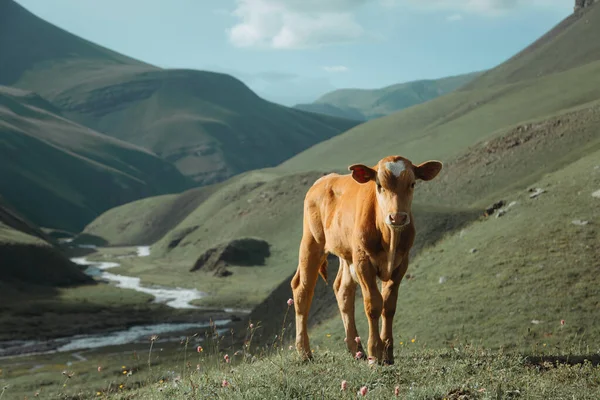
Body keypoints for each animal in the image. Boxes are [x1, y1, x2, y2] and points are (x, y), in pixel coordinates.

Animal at [288, 155, 442, 364]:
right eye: (379, 185)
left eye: (412, 184)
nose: (397, 217)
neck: (388, 238)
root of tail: (322, 181)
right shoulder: (363, 262)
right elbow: (374, 304)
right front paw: (375, 353)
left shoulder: (401, 264)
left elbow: (389, 305)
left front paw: (387, 353)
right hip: (312, 242)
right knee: (302, 289)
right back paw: (304, 352)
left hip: (347, 253)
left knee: (342, 290)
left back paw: (356, 349)